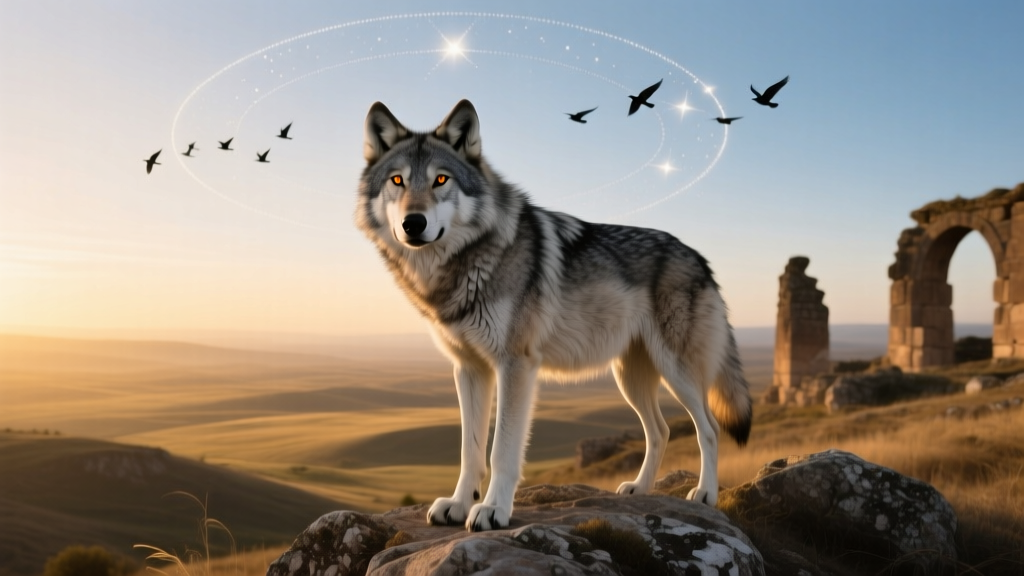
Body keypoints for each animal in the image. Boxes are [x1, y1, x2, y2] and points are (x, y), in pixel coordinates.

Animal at [356, 99, 752, 532]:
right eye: (397, 181)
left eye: (440, 179)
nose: (414, 223)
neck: (466, 263)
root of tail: (699, 257)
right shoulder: (469, 369)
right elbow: (469, 451)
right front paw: (459, 505)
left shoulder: (515, 365)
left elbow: (501, 450)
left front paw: (493, 510)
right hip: (629, 377)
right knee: (660, 431)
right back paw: (639, 489)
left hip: (675, 371)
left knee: (708, 428)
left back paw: (705, 494)